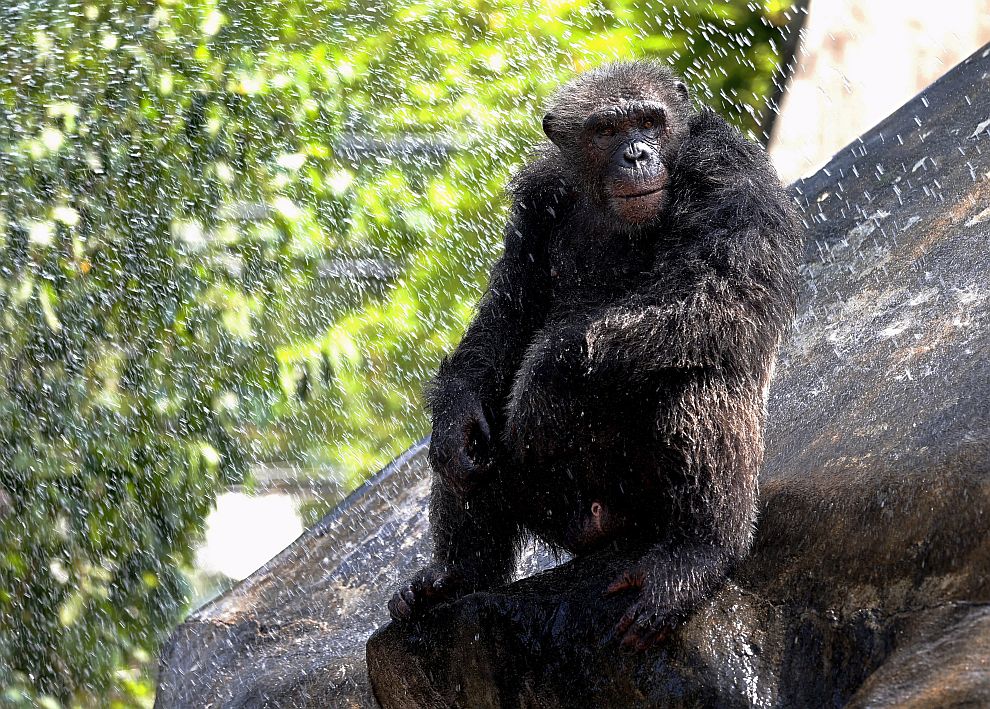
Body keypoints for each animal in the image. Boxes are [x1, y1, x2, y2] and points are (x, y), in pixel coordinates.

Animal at [384, 60, 804, 648]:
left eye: (648, 121)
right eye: (607, 130)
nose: (637, 154)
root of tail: (597, 525)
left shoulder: (729, 167)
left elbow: (720, 289)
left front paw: (543, 386)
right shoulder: (536, 202)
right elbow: (507, 315)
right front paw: (456, 419)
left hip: (642, 506)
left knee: (695, 373)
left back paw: (696, 554)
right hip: (554, 507)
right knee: (476, 446)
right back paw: (454, 577)